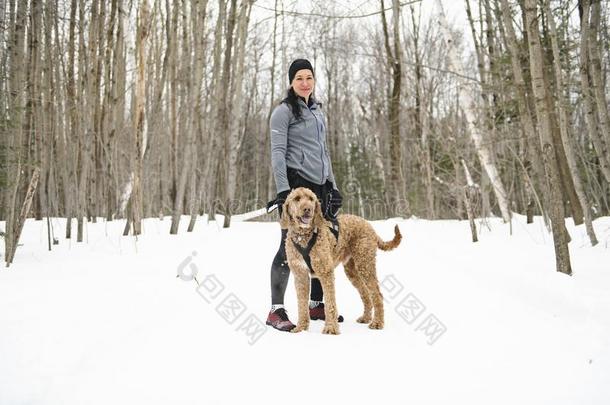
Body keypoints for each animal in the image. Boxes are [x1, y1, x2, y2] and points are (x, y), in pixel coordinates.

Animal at [280, 186, 402, 334]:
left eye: (311, 199)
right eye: (297, 198)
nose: (308, 209)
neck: (303, 236)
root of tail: (369, 226)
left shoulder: (326, 273)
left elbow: (330, 303)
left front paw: (331, 328)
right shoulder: (300, 275)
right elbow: (302, 304)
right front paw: (301, 328)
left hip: (365, 264)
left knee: (377, 294)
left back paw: (377, 323)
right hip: (352, 270)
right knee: (365, 293)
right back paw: (366, 318)